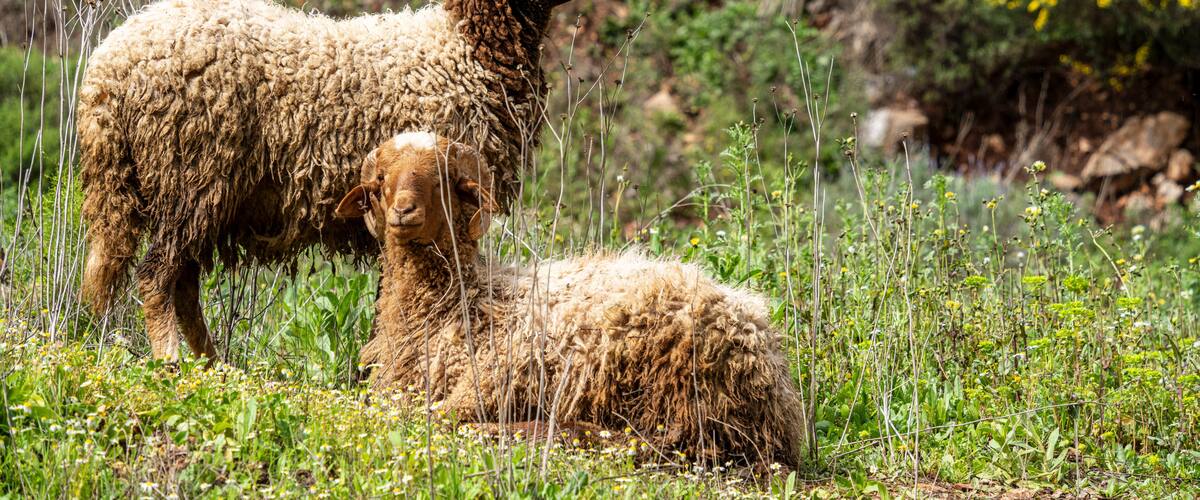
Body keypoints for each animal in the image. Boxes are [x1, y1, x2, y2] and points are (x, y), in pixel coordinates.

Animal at [77, 0, 570, 361]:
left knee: (182, 282)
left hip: (195, 194)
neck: (463, 48)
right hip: (191, 176)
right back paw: (172, 360)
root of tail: (106, 72)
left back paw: (211, 363)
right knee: (156, 276)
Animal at [335, 132, 807, 469]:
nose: (404, 211)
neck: (460, 300)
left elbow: (435, 417)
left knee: (659, 443)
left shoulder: (490, 379)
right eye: (381, 181)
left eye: (441, 181)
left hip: (672, 382)